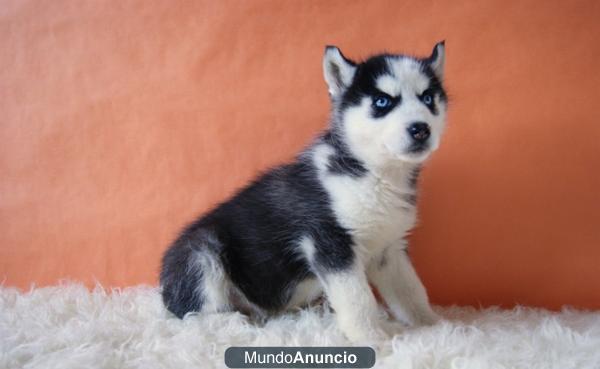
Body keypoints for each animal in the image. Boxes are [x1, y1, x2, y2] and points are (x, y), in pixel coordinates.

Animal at [162, 41, 448, 340]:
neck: (375, 174)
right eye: (382, 102)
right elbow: (358, 299)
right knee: (192, 315)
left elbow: (411, 290)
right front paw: (370, 336)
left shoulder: (389, 249)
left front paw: (434, 325)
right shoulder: (330, 243)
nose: (420, 129)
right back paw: (233, 322)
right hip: (201, 252)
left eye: (428, 98)